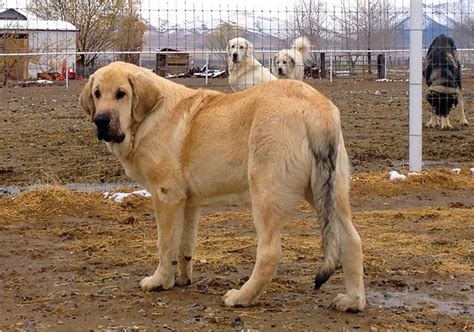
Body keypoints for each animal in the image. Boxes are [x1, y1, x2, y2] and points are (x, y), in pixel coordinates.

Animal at [78, 61, 366, 312]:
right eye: (97, 94)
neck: (149, 116)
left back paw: (241, 297)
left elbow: (165, 244)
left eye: (121, 94)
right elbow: (184, 245)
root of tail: (317, 110)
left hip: (266, 192)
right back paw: (352, 301)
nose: (101, 120)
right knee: (351, 240)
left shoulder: (166, 196)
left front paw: (159, 281)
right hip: (327, 192)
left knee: (270, 252)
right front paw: (181, 280)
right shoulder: (187, 203)